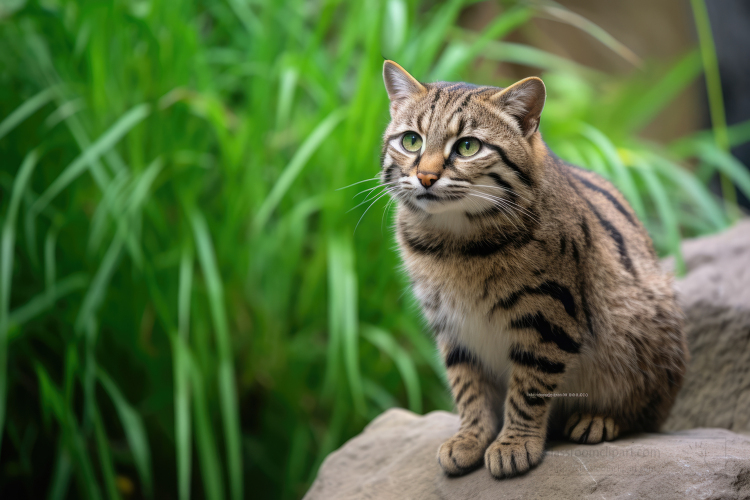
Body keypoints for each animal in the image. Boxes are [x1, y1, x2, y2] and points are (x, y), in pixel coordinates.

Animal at [378, 60, 692, 478]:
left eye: (467, 146)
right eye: (411, 141)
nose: (426, 177)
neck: (455, 242)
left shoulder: (548, 317)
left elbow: (528, 386)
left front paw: (514, 443)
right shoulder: (451, 325)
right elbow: (467, 387)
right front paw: (470, 438)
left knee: (649, 413)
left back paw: (600, 418)